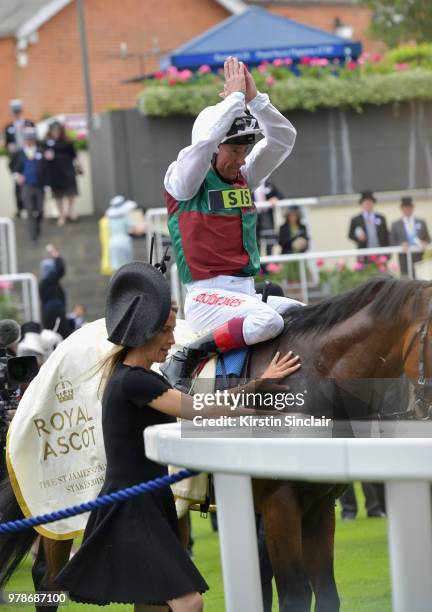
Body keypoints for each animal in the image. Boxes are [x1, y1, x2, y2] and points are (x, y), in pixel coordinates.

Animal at [0, 278, 432, 612]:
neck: (313, 374)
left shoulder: (319, 505)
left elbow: (325, 595)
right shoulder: (279, 504)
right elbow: (294, 594)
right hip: (64, 501)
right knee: (49, 579)